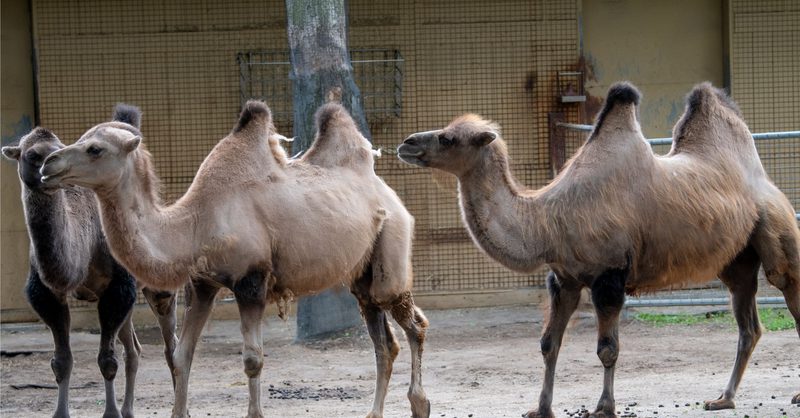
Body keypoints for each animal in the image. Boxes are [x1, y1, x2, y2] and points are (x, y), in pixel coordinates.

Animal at [1, 119, 177, 418]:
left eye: (59, 147)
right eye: (32, 154)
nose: (49, 165)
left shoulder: (116, 289)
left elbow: (107, 360)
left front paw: (111, 413)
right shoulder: (48, 294)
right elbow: (62, 361)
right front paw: (61, 413)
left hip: (160, 285)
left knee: (171, 344)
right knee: (134, 349)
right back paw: (129, 410)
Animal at [39, 101, 430, 418]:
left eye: (94, 149)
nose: (47, 165)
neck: (194, 224)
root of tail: (388, 193)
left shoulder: (251, 281)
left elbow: (253, 359)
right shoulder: (203, 284)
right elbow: (181, 356)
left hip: (392, 244)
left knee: (413, 323)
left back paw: (420, 404)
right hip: (362, 273)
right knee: (383, 339)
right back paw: (375, 412)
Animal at [398, 81, 800, 417]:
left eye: (449, 138)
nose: (407, 143)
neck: (549, 219)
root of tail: (766, 182)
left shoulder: (610, 275)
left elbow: (607, 349)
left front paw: (604, 407)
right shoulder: (565, 279)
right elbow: (548, 344)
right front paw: (541, 408)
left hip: (777, 233)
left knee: (786, 287)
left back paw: (790, 395)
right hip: (736, 260)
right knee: (749, 325)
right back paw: (724, 398)